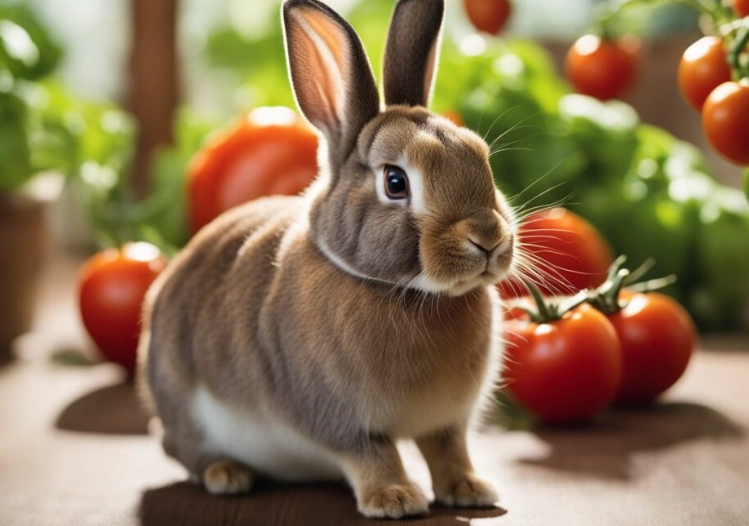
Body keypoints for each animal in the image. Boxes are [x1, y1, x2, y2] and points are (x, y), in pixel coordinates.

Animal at [137, 0, 516, 519]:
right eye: (395, 182)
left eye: (482, 157)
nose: (488, 240)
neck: (406, 292)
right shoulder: (339, 417)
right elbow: (373, 454)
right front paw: (396, 499)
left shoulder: (446, 421)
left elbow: (449, 451)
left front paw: (472, 490)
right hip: (183, 402)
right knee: (182, 450)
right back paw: (227, 475)